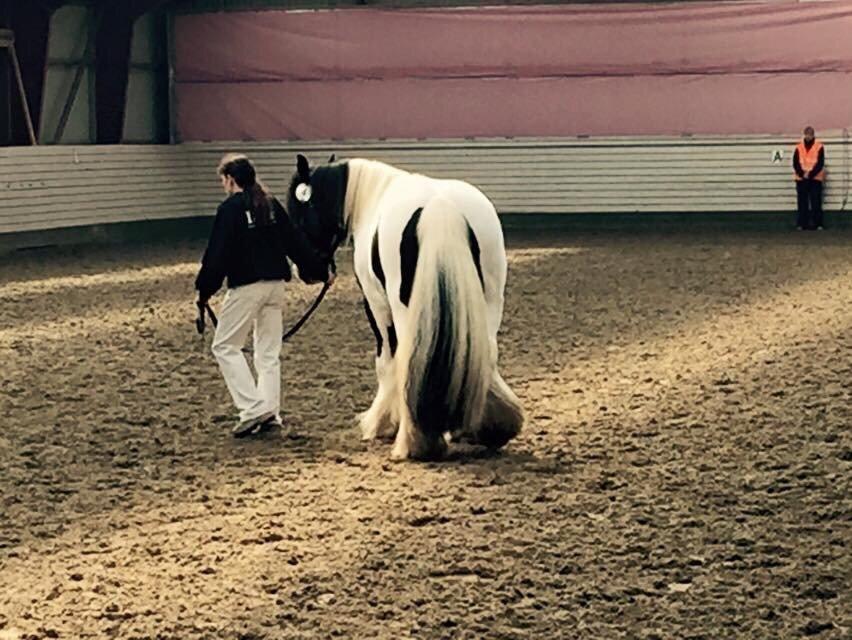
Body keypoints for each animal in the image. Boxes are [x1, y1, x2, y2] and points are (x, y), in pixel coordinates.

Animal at [288, 152, 524, 458]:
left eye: (297, 216)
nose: (307, 272)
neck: (373, 194)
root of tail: (439, 205)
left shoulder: (376, 306)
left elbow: (386, 362)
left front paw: (381, 424)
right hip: (490, 302)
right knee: (489, 355)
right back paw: (491, 427)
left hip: (404, 310)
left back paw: (416, 441)